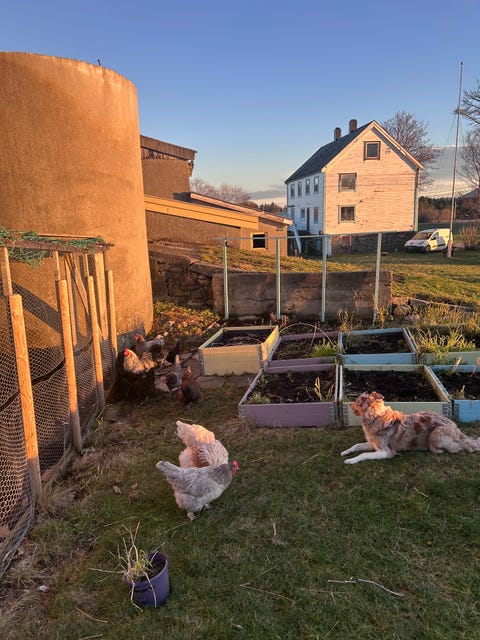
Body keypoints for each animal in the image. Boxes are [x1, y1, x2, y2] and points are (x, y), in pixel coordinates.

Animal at [341, 391, 480, 464]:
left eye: (357, 402)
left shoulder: (385, 452)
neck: (376, 418)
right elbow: (357, 445)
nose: (349, 404)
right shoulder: (373, 444)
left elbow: (363, 454)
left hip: (435, 434)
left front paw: (351, 460)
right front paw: (346, 452)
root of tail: (456, 427)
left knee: (457, 448)